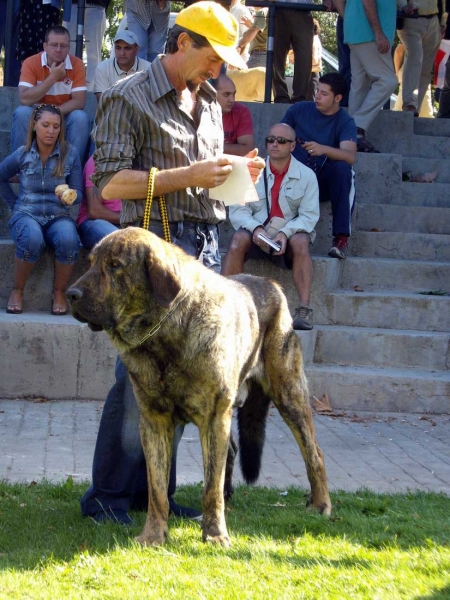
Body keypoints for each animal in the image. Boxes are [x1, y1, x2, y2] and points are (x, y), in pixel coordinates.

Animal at [67, 230, 334, 548]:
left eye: (115, 265)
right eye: (91, 263)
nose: (71, 294)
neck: (165, 334)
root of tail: (273, 285)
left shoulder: (213, 418)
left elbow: (210, 488)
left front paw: (215, 534)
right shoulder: (154, 421)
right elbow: (157, 489)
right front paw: (153, 534)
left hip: (287, 393)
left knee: (314, 452)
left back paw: (320, 503)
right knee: (231, 452)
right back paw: (230, 495)